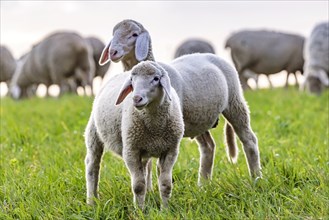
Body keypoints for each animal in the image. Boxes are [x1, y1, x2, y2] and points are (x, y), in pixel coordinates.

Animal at [84, 60, 184, 208]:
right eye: (132, 80)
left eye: (156, 78)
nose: (136, 98)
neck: (155, 128)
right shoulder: (131, 151)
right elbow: (138, 186)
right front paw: (140, 210)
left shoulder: (170, 150)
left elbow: (166, 184)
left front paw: (165, 209)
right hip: (94, 133)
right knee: (92, 165)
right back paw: (92, 201)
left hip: (144, 148)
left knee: (144, 167)